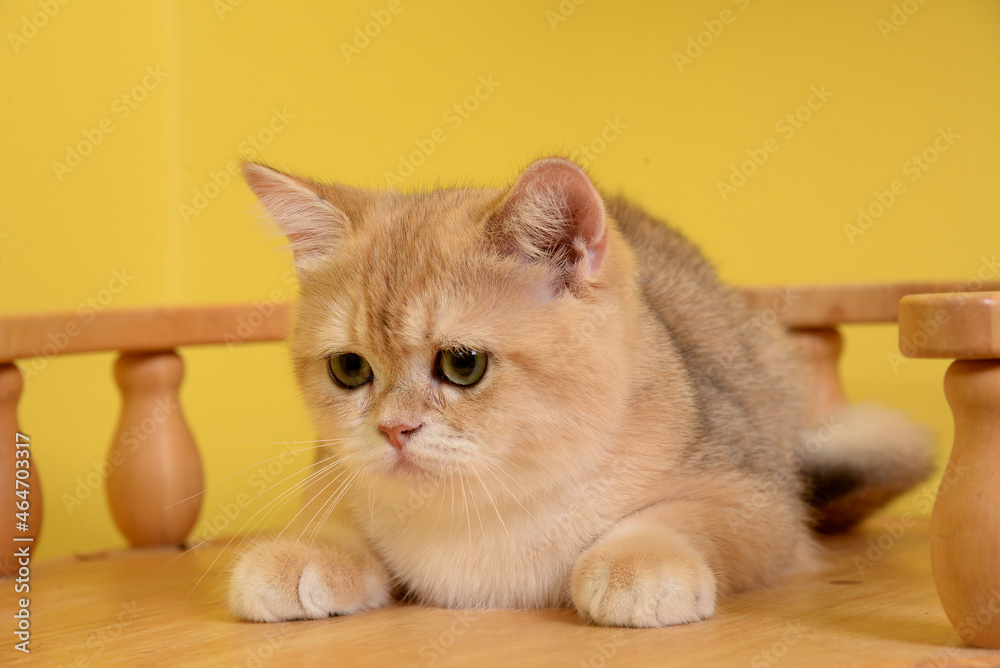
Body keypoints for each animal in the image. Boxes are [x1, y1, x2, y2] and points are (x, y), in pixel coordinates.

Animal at [227, 157, 928, 628]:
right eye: (349, 370)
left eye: (462, 365)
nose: (392, 430)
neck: (485, 507)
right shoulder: (335, 477)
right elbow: (334, 523)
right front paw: (300, 556)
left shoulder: (761, 507)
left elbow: (681, 518)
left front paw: (634, 564)